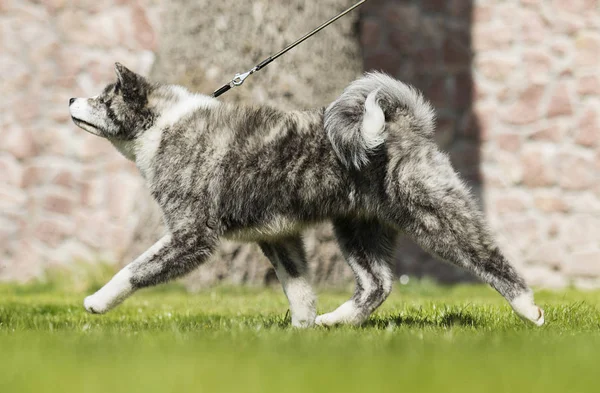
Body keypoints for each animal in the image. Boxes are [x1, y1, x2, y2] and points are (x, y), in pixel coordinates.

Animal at [68, 64, 548, 326]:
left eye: (104, 98)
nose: (72, 98)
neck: (162, 126)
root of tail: (407, 124)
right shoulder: (279, 237)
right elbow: (299, 291)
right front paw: (305, 332)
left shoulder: (191, 234)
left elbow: (135, 269)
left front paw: (95, 301)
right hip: (357, 228)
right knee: (378, 284)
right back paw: (337, 320)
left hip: (436, 215)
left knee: (490, 259)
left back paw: (529, 310)